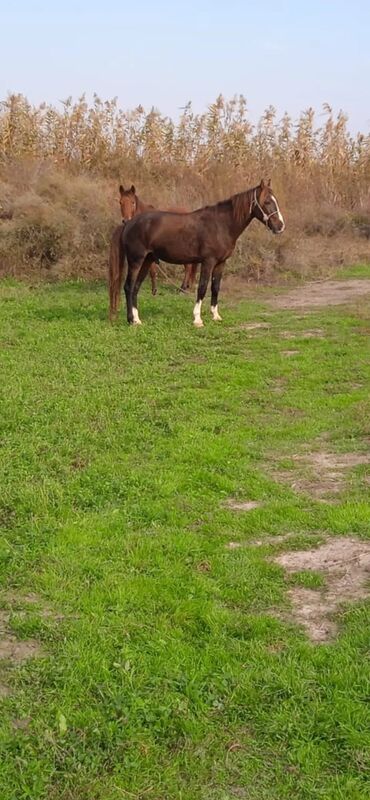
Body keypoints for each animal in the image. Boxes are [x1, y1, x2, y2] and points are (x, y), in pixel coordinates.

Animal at [112, 180, 286, 326]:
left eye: (275, 200)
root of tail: (129, 223)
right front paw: (197, 319)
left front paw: (216, 316)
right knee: (128, 287)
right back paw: (131, 320)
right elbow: (202, 287)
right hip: (136, 260)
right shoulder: (208, 261)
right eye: (267, 201)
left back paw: (137, 319)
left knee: (136, 287)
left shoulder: (221, 263)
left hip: (147, 261)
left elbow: (215, 287)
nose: (280, 226)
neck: (221, 225)